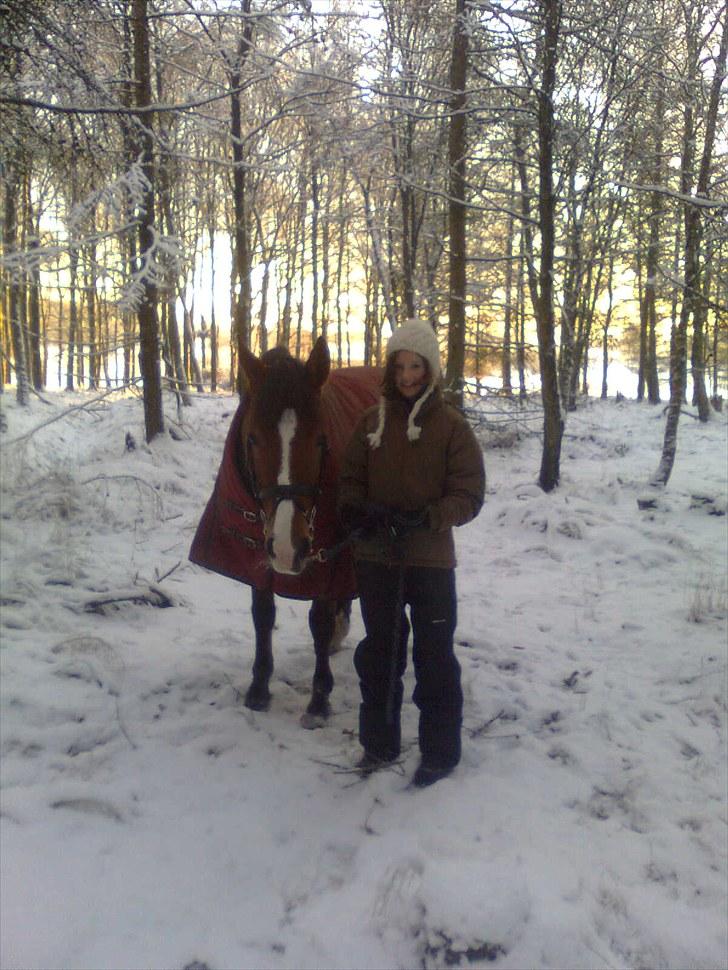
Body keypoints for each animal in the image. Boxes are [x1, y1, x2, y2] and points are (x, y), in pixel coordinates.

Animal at [191, 336, 382, 724]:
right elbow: (263, 617)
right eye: (251, 439)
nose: (286, 547)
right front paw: (259, 688)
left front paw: (319, 699)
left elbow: (319, 622)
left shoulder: (325, 560)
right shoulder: (256, 557)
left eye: (322, 440)